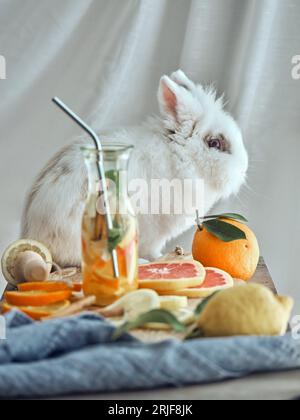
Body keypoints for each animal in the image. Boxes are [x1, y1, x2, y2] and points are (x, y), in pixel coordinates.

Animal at [21, 69, 248, 266]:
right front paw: (157, 258)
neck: (180, 157)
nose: (244, 167)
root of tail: (36, 234)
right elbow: (152, 248)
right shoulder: (155, 229)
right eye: (215, 143)